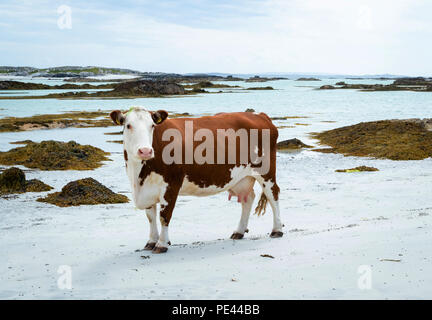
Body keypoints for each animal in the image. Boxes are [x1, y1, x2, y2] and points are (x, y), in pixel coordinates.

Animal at [109, 107, 282, 252]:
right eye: (128, 125)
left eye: (152, 126)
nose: (145, 150)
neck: (139, 175)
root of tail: (259, 115)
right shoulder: (147, 189)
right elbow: (151, 217)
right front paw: (151, 241)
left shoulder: (171, 184)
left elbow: (164, 216)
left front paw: (162, 244)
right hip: (241, 176)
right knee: (248, 198)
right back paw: (239, 231)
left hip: (266, 171)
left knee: (273, 194)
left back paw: (277, 229)